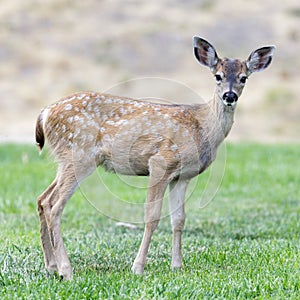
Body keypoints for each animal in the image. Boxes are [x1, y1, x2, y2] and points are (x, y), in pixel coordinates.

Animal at [35, 37, 274, 278]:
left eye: (243, 78)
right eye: (218, 76)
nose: (229, 96)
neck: (202, 127)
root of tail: (45, 113)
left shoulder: (182, 176)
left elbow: (179, 219)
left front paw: (177, 265)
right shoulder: (161, 162)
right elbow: (152, 216)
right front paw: (137, 267)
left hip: (67, 158)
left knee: (43, 199)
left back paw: (51, 265)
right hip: (79, 154)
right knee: (55, 205)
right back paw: (66, 270)